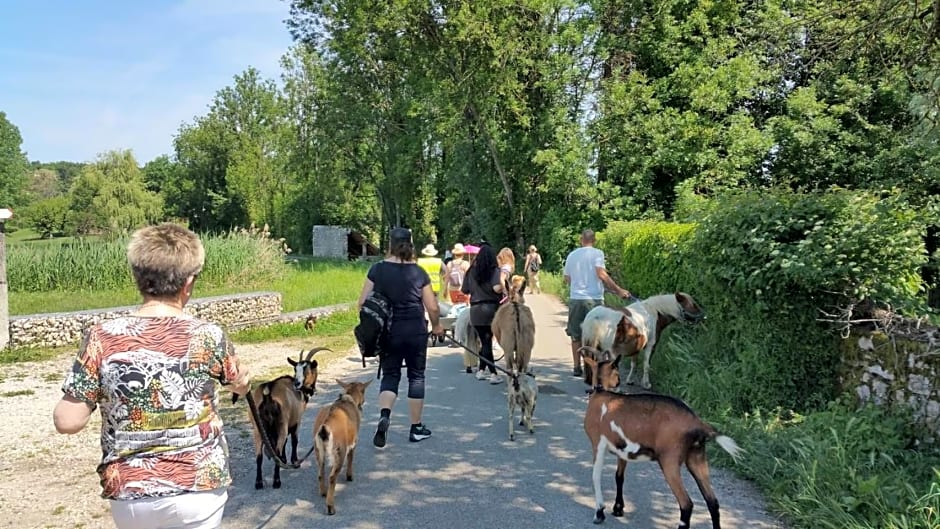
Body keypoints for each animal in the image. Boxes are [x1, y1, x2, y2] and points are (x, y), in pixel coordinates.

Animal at [233, 346, 328, 486]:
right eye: (296, 369)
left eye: (306, 368)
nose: (297, 383)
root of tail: (268, 392)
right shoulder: (296, 420)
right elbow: (294, 440)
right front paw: (294, 461)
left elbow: (285, 443)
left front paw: (284, 459)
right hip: (281, 424)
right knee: (277, 450)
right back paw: (276, 481)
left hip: (257, 428)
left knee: (259, 456)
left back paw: (259, 482)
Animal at [316, 378, 374, 512]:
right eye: (364, 391)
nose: (363, 402)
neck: (348, 399)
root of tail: (325, 426)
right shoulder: (353, 443)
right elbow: (351, 459)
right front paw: (349, 476)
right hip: (340, 451)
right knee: (332, 477)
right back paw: (330, 506)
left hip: (318, 451)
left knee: (321, 473)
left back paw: (323, 492)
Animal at [580, 350, 740, 528]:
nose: (619, 383)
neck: (602, 394)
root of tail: (696, 422)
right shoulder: (622, 451)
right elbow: (619, 477)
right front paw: (618, 508)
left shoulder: (597, 443)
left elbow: (596, 476)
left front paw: (599, 512)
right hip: (696, 457)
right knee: (712, 501)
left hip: (669, 461)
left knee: (686, 503)